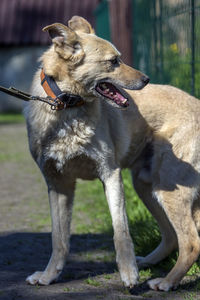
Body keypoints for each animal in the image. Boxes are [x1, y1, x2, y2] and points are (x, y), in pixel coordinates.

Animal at [24, 15, 200, 290]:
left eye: (120, 58)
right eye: (113, 61)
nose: (146, 79)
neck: (67, 107)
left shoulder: (111, 175)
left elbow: (121, 230)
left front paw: (128, 273)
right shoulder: (58, 185)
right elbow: (59, 238)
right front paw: (49, 275)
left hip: (168, 188)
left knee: (191, 242)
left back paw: (167, 281)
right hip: (146, 186)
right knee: (173, 236)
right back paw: (150, 263)